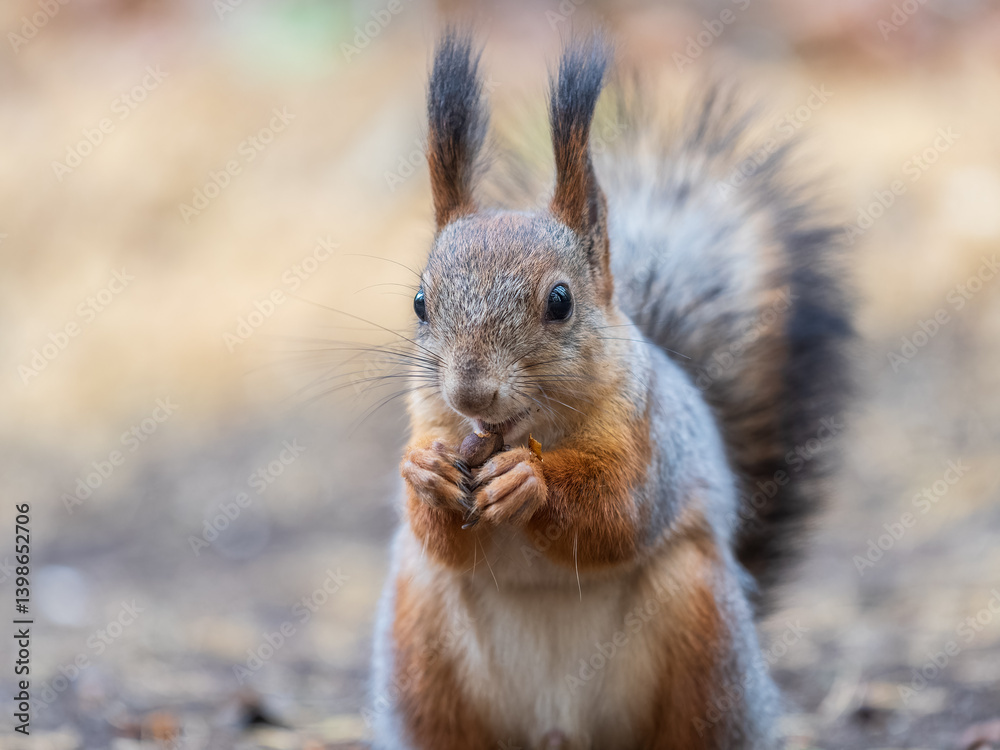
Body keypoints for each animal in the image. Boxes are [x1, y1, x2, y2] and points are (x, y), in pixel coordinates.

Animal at [370, 31, 853, 750]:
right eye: (421, 303)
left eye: (560, 301)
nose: (470, 392)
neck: (526, 431)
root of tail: (560, 730)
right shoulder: (428, 416)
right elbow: (439, 535)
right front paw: (425, 472)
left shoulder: (647, 435)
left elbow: (618, 514)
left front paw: (530, 481)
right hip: (422, 645)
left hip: (701, 632)